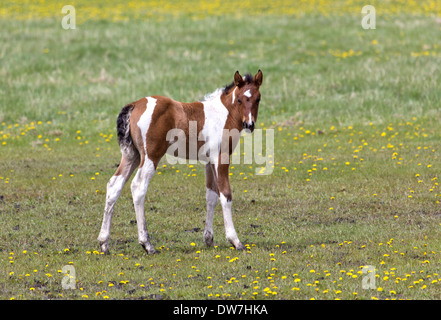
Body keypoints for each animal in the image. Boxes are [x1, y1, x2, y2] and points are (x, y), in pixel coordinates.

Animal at [97, 70, 262, 255]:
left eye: (258, 99)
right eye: (239, 99)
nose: (249, 124)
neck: (223, 114)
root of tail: (134, 105)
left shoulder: (208, 162)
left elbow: (211, 196)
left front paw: (209, 239)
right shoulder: (221, 158)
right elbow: (225, 195)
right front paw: (235, 241)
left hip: (132, 156)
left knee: (114, 185)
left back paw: (104, 243)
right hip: (150, 156)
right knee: (138, 187)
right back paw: (147, 244)